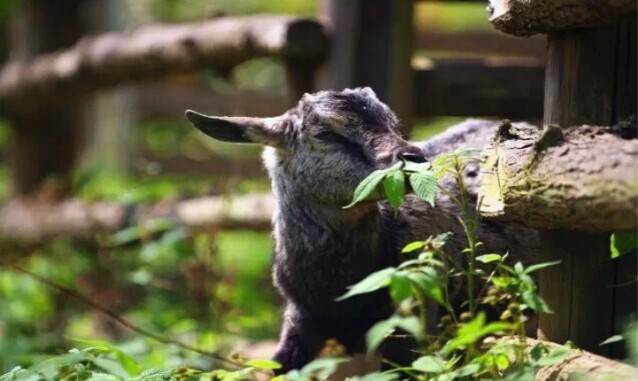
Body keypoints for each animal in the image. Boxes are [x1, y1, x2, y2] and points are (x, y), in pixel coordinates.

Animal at [185, 87, 540, 372]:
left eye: (393, 124)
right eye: (325, 134)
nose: (414, 157)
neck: (339, 293)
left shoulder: (410, 327)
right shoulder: (301, 323)